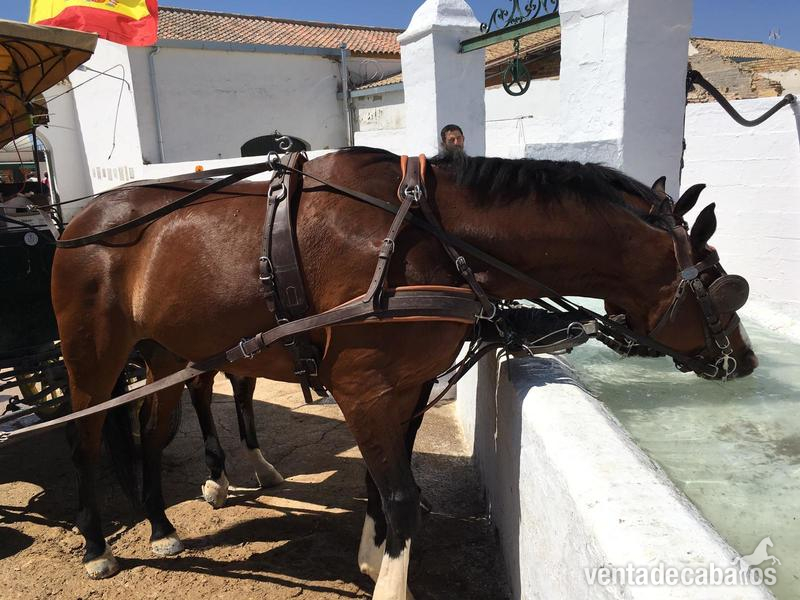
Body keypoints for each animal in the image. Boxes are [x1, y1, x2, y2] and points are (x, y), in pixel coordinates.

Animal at [50, 147, 758, 597]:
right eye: (727, 284)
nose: (745, 360)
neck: (429, 237)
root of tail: (82, 220)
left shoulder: (405, 389)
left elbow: (379, 483)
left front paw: (371, 557)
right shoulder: (365, 389)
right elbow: (401, 495)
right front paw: (390, 583)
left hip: (167, 354)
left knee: (149, 437)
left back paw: (161, 526)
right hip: (93, 358)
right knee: (84, 440)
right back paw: (97, 545)